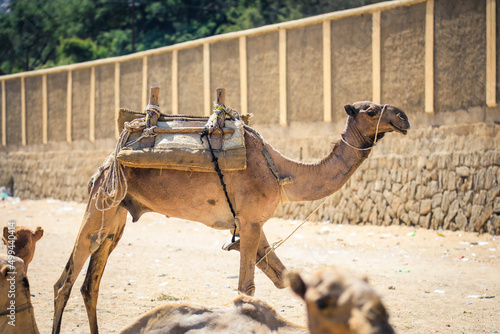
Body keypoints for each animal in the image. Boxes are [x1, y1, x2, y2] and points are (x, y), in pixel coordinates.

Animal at [51, 102, 410, 334]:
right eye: (371, 110)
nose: (403, 117)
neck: (284, 173)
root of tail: (105, 164)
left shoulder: (255, 222)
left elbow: (281, 278)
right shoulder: (250, 220)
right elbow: (246, 287)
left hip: (118, 213)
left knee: (90, 282)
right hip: (101, 201)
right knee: (64, 280)